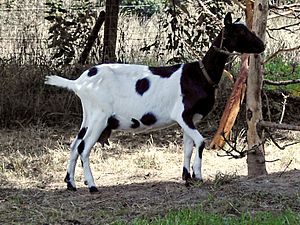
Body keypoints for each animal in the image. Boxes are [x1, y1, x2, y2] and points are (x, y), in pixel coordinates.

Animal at [45, 12, 264, 192]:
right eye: (240, 32)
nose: (261, 45)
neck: (200, 74)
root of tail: (79, 83)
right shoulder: (182, 114)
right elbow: (201, 142)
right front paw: (198, 175)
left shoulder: (191, 118)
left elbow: (188, 147)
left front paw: (187, 177)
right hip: (100, 117)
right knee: (84, 147)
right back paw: (91, 185)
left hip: (89, 116)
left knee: (75, 145)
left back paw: (71, 183)